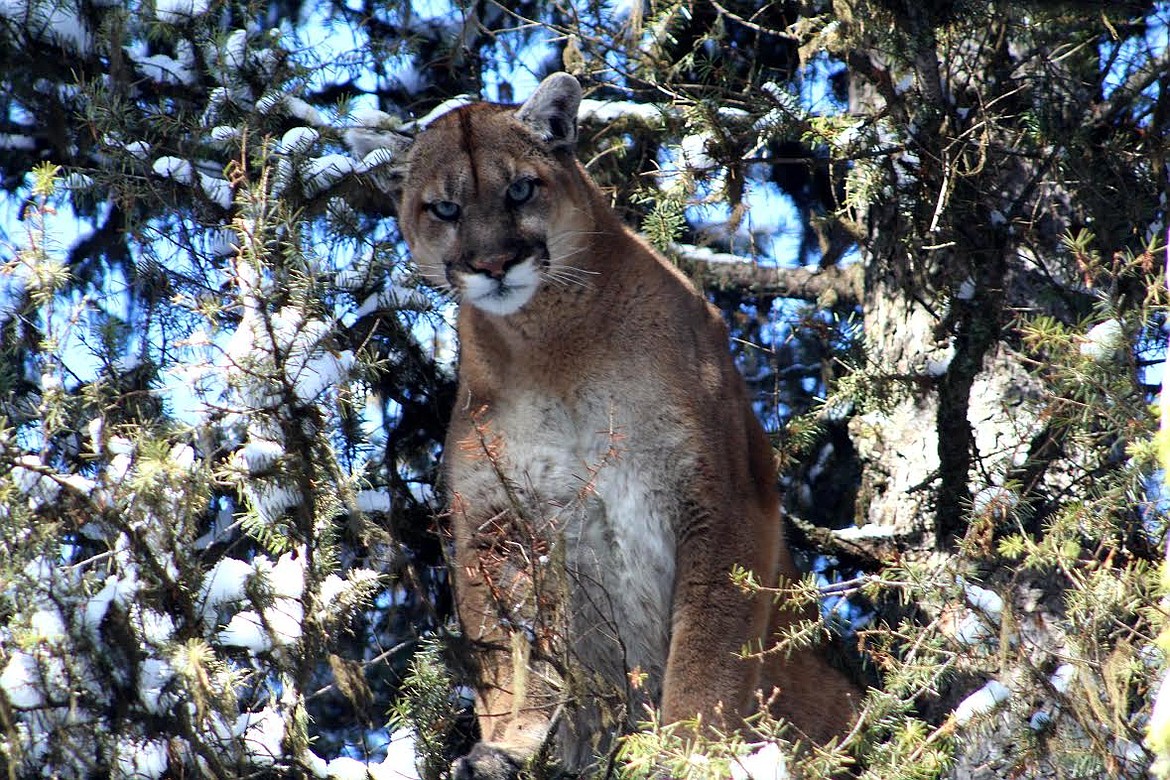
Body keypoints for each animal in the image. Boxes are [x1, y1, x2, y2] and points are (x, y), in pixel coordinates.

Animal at [379, 73, 856, 780]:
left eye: (520, 189)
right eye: (443, 208)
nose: (493, 264)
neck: (551, 348)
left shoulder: (721, 496)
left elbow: (708, 642)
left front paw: (687, 752)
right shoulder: (492, 525)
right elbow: (511, 658)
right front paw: (511, 743)